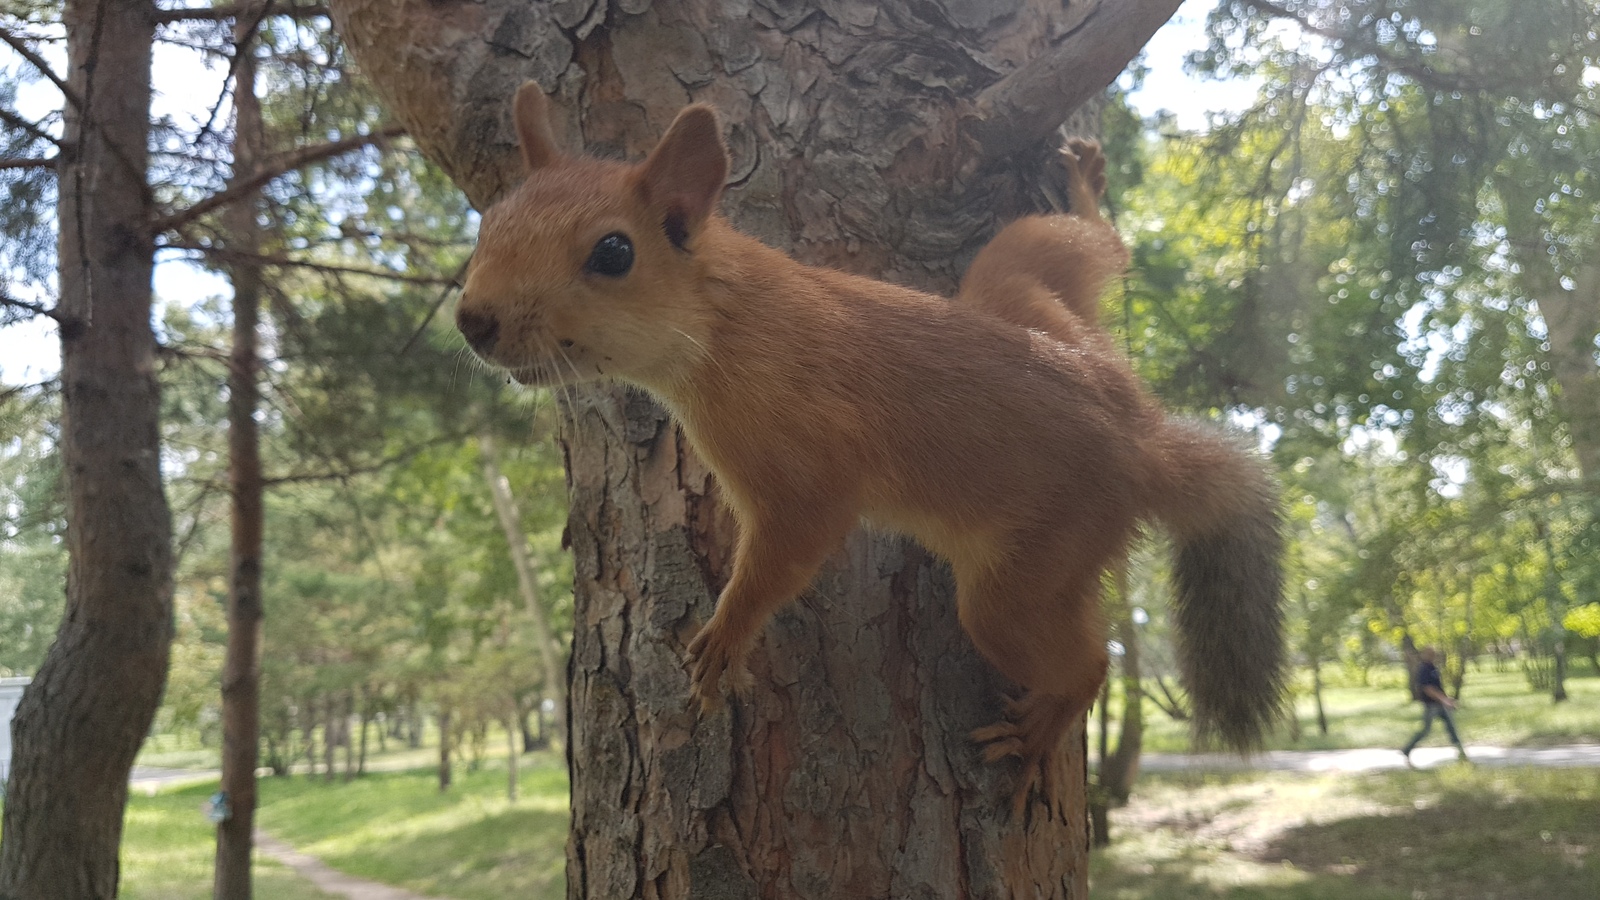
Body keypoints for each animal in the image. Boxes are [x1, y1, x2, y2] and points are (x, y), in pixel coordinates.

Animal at [457, 82, 1280, 797]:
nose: (472, 320)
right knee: (1088, 247)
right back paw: (1084, 188)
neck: (727, 318)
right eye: (486, 227)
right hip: (1023, 287)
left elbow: (791, 549)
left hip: (1031, 569)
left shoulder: (807, 464)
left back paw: (1041, 728)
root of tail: (1141, 441)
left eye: (613, 253)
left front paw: (727, 633)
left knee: (1084, 664)